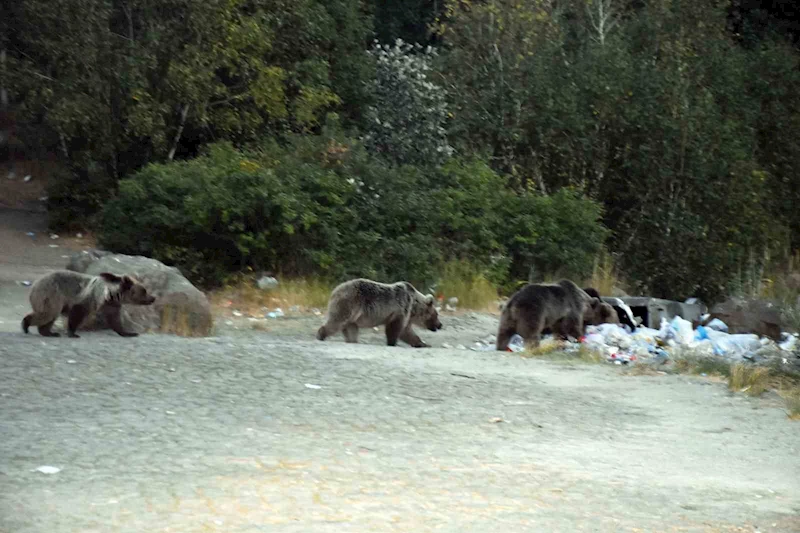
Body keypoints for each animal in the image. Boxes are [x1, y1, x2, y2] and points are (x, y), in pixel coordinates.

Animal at [21, 270, 156, 336]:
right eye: (144, 291)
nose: (153, 298)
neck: (110, 294)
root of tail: (34, 284)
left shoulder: (112, 305)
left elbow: (115, 321)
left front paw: (129, 333)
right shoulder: (89, 298)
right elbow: (77, 312)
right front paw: (73, 333)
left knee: (49, 317)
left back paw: (49, 333)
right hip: (52, 294)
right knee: (47, 314)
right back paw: (26, 325)